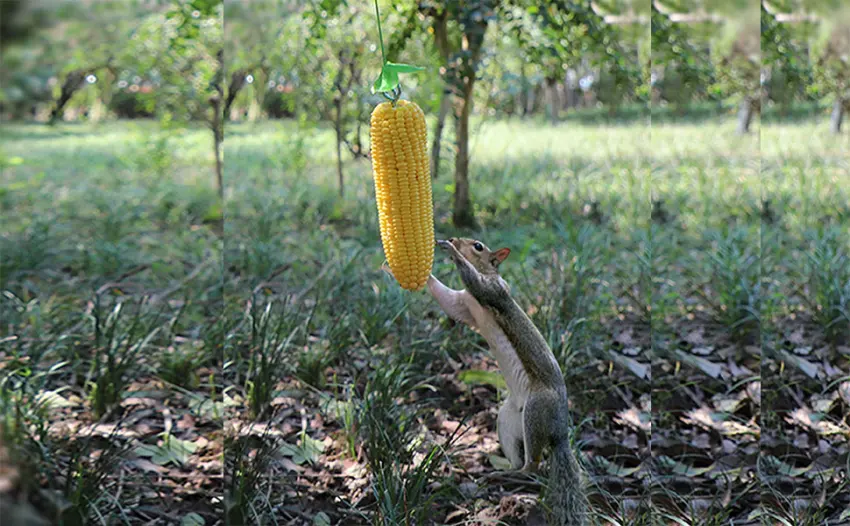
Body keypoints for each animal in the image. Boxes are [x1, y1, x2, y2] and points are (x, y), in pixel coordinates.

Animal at [385, 237, 587, 526]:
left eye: (478, 246)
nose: (455, 240)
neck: (489, 271)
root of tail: (559, 431)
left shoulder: (494, 291)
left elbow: (478, 283)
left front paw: (452, 251)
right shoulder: (463, 305)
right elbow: (447, 301)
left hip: (537, 411)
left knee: (533, 465)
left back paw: (513, 474)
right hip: (508, 421)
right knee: (520, 456)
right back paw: (502, 472)